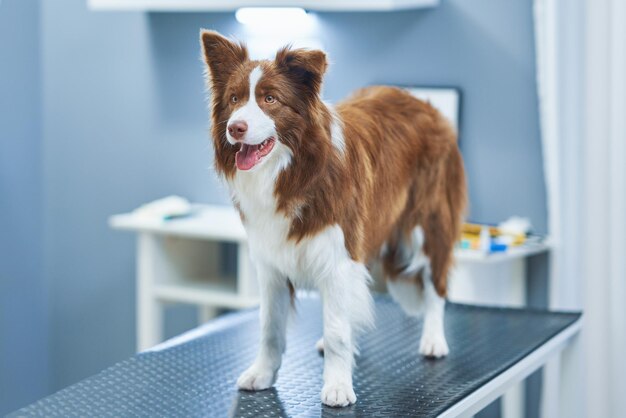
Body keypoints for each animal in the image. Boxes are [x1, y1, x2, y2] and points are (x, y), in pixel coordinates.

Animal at [199, 30, 464, 408]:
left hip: (427, 224)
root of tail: (426, 104)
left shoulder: (339, 255)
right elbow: (269, 327)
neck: (292, 172)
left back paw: (433, 339)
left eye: (270, 99)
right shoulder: (270, 263)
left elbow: (338, 330)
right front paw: (262, 374)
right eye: (234, 99)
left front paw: (338, 387)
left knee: (436, 285)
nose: (236, 128)